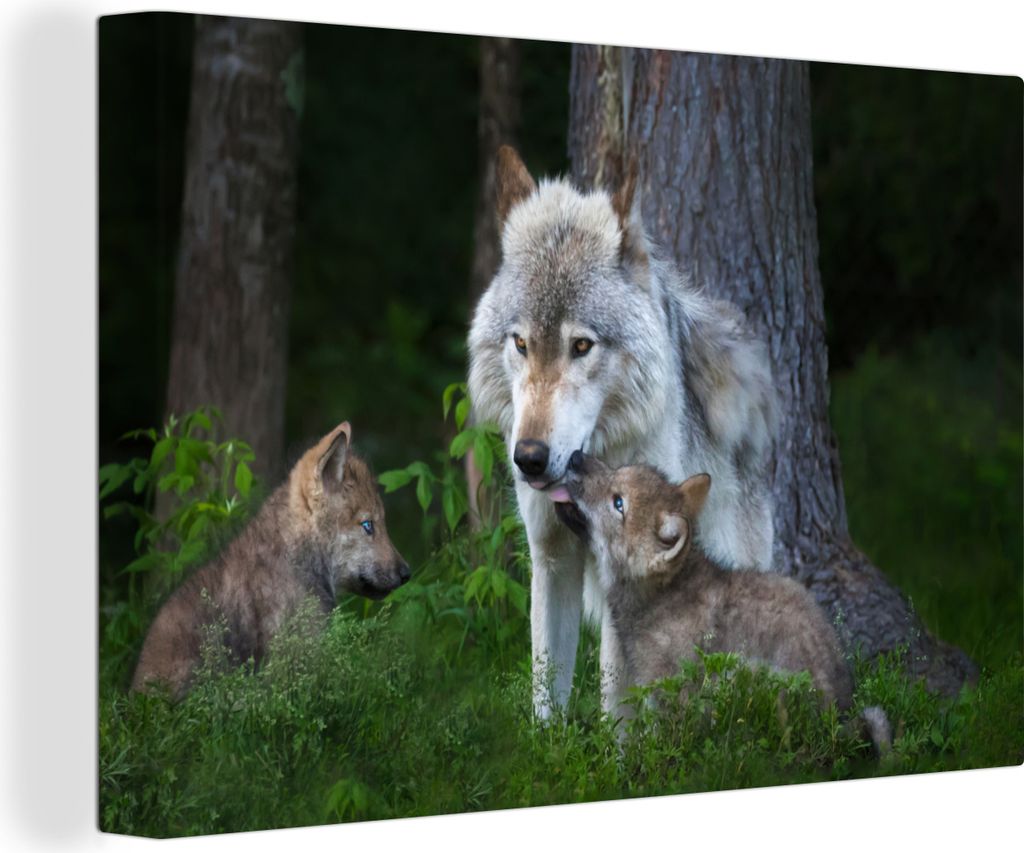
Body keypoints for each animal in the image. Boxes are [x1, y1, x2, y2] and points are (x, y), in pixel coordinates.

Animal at [467, 146, 777, 720]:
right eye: (521, 344)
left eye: (581, 346)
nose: (529, 458)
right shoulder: (551, 559)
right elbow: (546, 694)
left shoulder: (627, 580)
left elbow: (616, 700)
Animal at [562, 451, 890, 753]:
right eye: (617, 469)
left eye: (618, 503)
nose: (576, 456)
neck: (661, 596)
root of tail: (837, 719)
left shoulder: (670, 694)